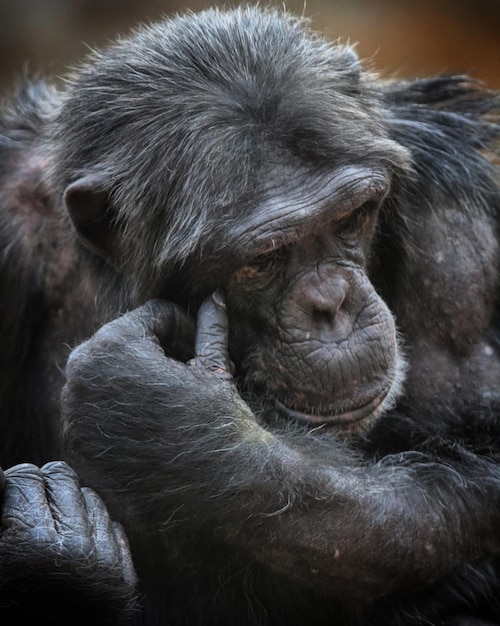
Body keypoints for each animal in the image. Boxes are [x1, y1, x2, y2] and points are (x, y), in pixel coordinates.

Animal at [0, 4, 500, 624]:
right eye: (263, 259)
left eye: (351, 218)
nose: (332, 303)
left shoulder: (456, 246)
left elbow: (478, 451)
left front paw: (166, 416)